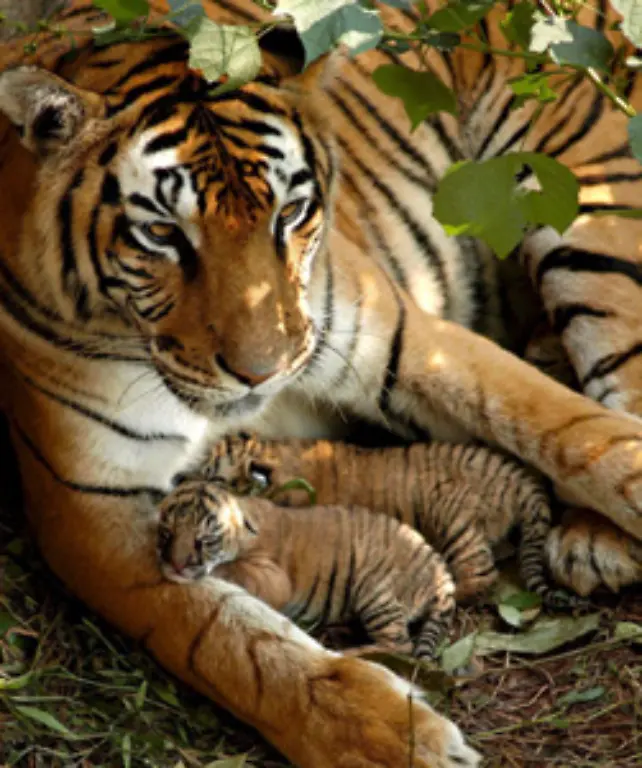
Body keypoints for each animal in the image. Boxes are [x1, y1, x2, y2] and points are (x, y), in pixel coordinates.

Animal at [158, 482, 458, 660]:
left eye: (204, 541)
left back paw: (347, 652)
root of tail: (439, 567)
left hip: (375, 589)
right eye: (167, 533)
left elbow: (235, 568)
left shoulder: (275, 579)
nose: (176, 565)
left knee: (400, 644)